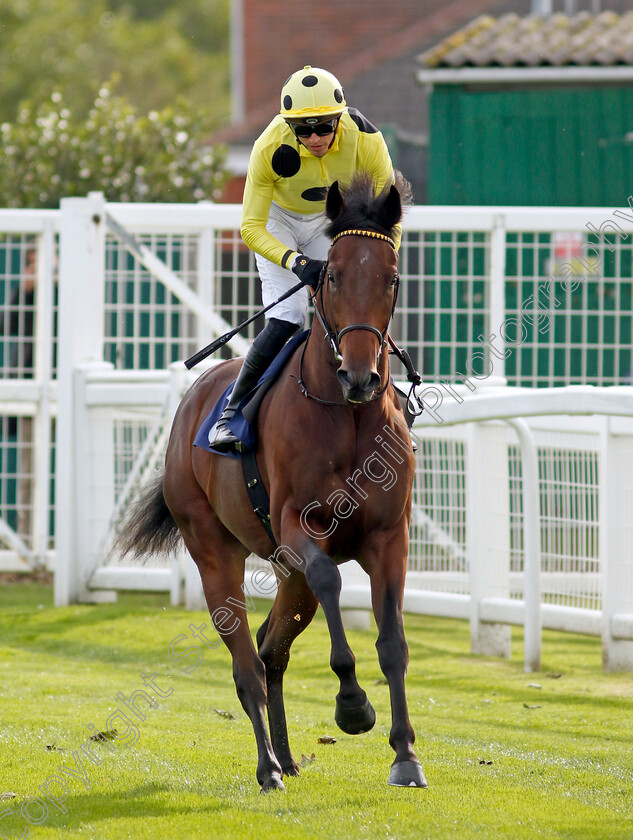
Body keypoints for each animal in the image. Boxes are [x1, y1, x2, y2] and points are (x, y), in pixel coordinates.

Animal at [116, 172, 428, 796]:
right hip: (215, 552)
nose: (361, 376)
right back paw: (268, 767)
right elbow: (332, 580)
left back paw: (285, 755)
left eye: (391, 278)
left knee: (271, 647)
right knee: (247, 662)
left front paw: (405, 755)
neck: (346, 415)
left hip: (286, 574)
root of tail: (192, 402)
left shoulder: (389, 537)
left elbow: (393, 642)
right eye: (331, 276)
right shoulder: (297, 527)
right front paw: (352, 705)